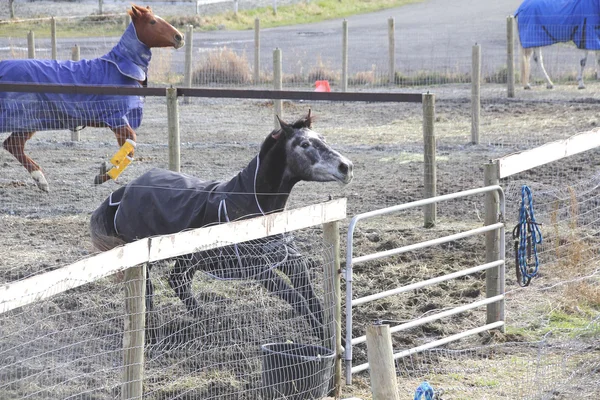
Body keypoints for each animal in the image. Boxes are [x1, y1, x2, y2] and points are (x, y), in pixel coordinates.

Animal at [0, 5, 183, 191]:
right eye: (152, 21)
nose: (179, 37)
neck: (118, 70)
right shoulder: (116, 118)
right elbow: (131, 145)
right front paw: (105, 171)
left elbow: (129, 148)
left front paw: (104, 173)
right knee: (13, 145)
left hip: (29, 122)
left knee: (13, 145)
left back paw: (41, 180)